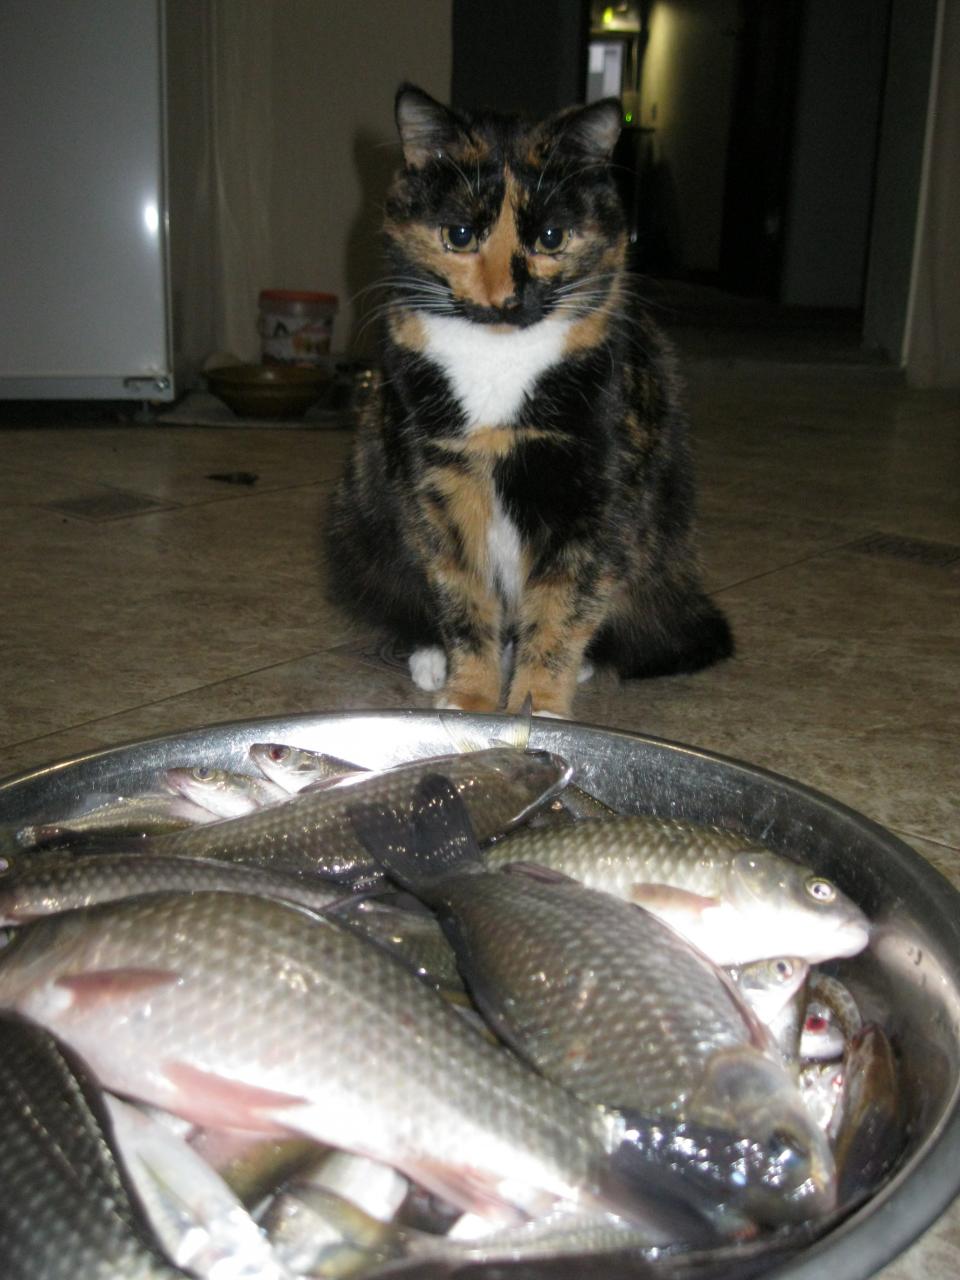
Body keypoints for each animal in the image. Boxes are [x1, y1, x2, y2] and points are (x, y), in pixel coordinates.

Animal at [323, 84, 733, 718]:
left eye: (551, 238)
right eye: (459, 235)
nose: (506, 298)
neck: (498, 362)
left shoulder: (596, 495)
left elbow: (565, 603)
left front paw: (539, 704)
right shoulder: (438, 482)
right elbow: (461, 594)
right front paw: (468, 695)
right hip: (358, 513)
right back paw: (430, 656)